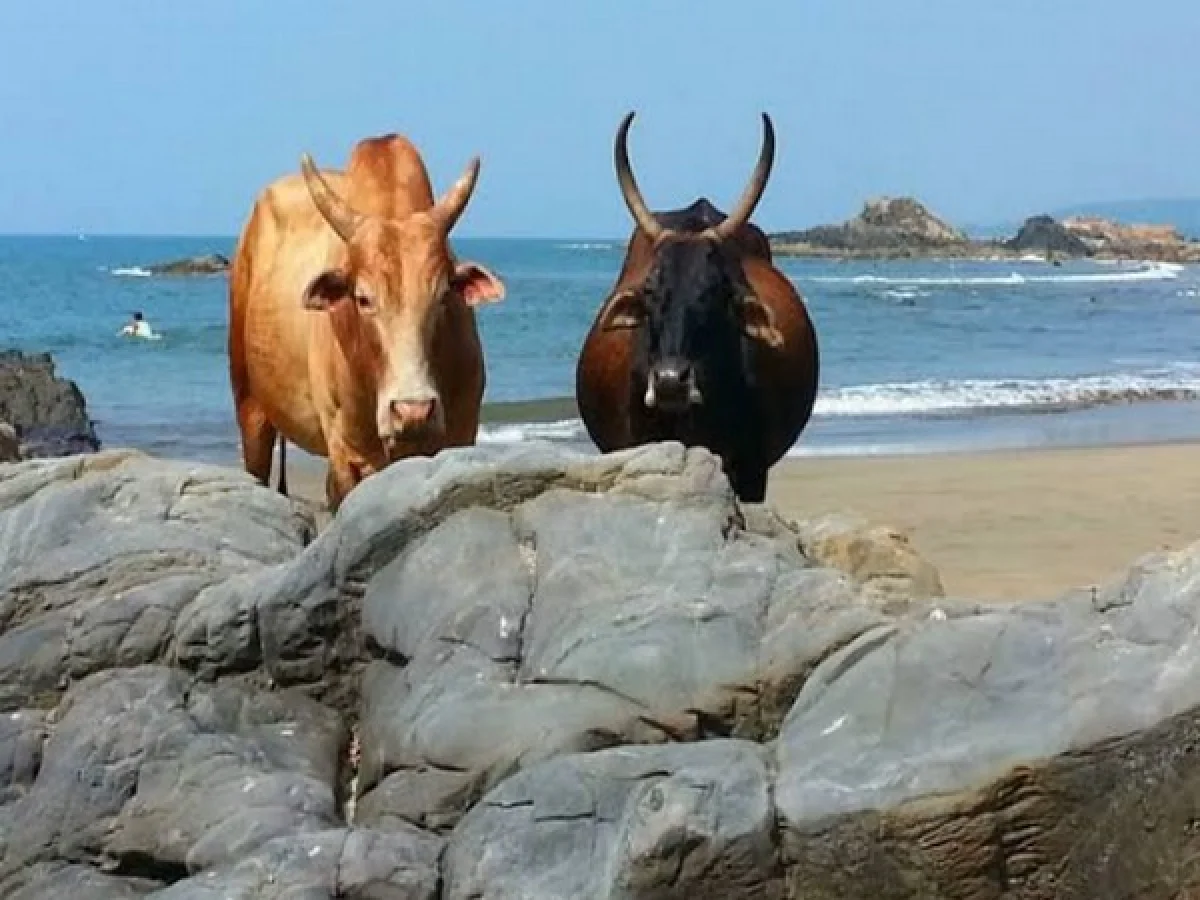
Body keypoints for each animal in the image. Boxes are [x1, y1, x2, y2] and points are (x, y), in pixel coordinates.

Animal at [228, 133, 505, 511]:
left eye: (444, 295)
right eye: (362, 298)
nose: (412, 411)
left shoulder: (461, 435)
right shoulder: (348, 456)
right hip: (250, 407)